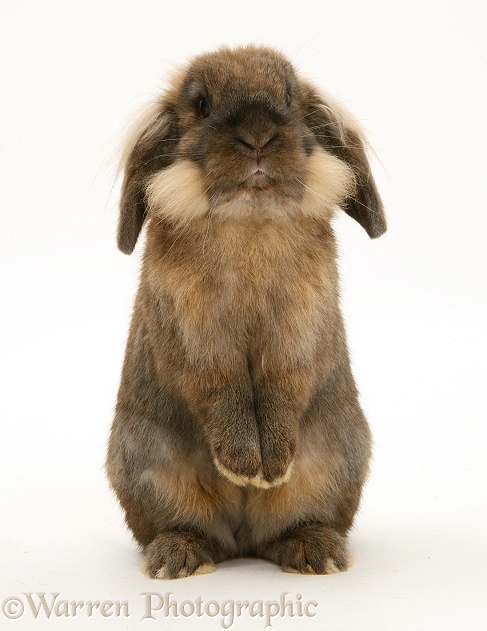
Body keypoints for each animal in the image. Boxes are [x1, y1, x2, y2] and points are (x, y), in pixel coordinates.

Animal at [106, 43, 386, 576]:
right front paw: (244, 465)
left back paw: (316, 552)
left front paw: (270, 468)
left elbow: (280, 388)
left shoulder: (298, 333)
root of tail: (241, 538)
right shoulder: (197, 340)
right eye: (201, 105)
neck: (249, 217)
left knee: (292, 526)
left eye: (289, 98)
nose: (258, 137)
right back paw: (180, 557)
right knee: (183, 525)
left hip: (340, 459)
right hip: (145, 465)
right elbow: (224, 391)